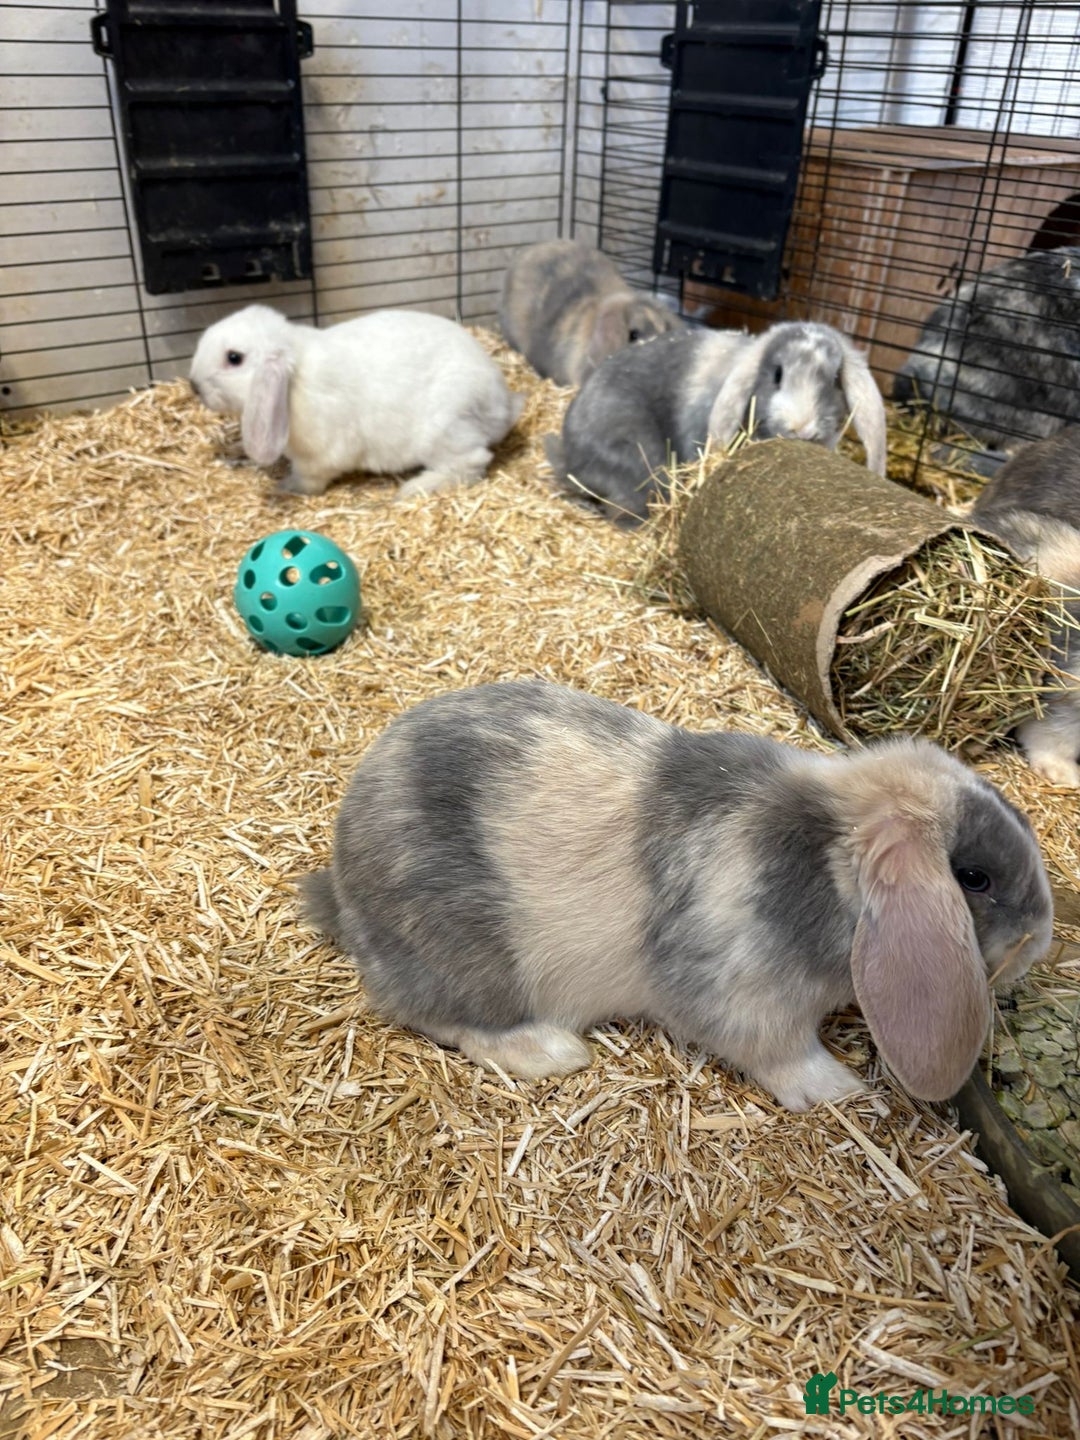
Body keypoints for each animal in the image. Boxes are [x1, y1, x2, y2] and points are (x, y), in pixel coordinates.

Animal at [189, 303, 523, 498]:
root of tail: (503, 407)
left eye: (234, 358)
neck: (295, 381)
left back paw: (414, 489)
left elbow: (309, 480)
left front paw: (285, 489)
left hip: (446, 431)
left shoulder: (319, 457)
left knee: (471, 463)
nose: (194, 385)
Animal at [302, 680, 1053, 1110]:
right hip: (469, 962)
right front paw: (840, 1091)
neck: (826, 859)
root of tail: (343, 890)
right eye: (974, 878)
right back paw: (553, 1052)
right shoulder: (750, 1001)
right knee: (441, 1018)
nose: (1042, 941)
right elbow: (782, 1053)